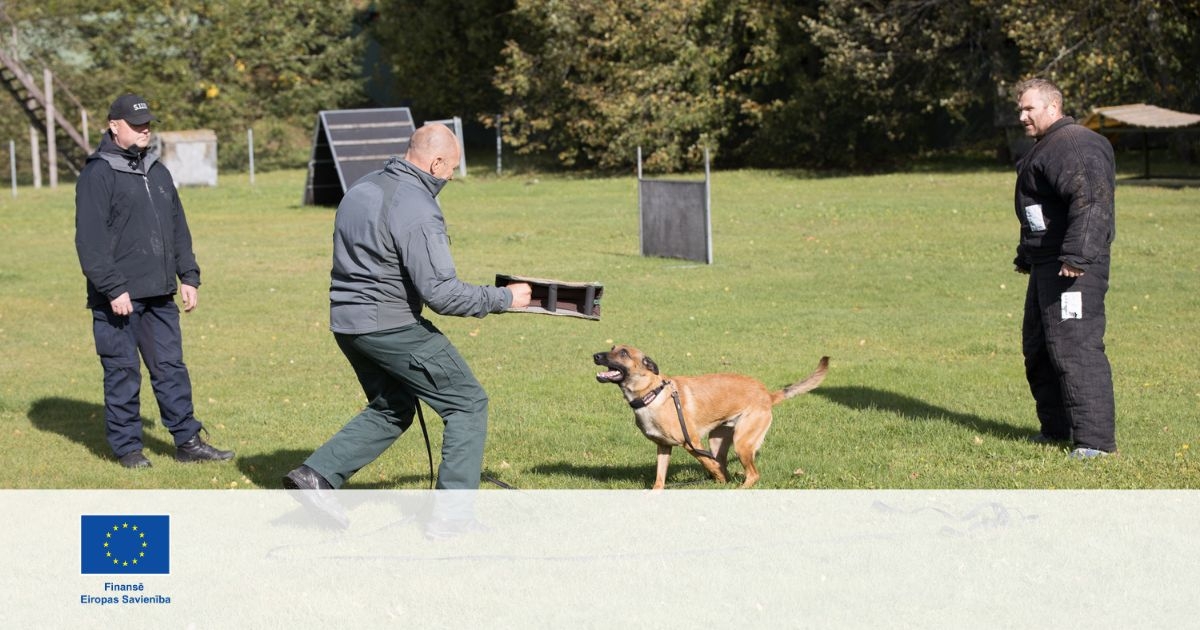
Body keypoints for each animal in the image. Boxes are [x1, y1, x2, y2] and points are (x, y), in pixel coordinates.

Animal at [595, 343, 830, 487]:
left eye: (624, 353)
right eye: (612, 348)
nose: (596, 355)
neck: (652, 393)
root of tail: (767, 394)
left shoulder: (691, 442)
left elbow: (709, 464)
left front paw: (718, 477)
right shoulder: (663, 446)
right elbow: (660, 479)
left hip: (742, 442)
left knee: (752, 474)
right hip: (717, 441)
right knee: (724, 463)